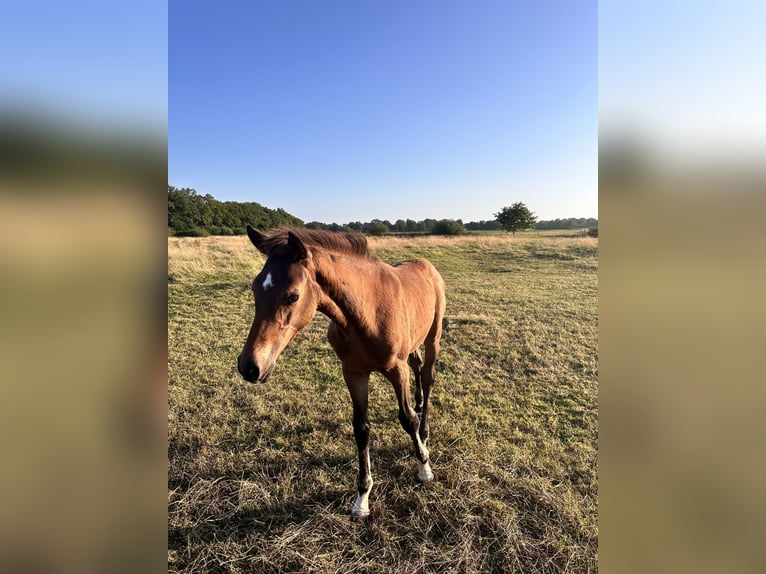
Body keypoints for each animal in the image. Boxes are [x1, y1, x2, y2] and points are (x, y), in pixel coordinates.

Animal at [237, 225, 446, 519]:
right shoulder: (353, 372)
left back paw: (425, 431)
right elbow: (361, 429)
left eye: (293, 296)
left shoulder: (396, 369)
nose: (249, 367)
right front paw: (362, 499)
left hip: (432, 338)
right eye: (255, 289)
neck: (366, 312)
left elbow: (408, 420)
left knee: (427, 378)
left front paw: (424, 469)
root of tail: (424, 264)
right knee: (417, 369)